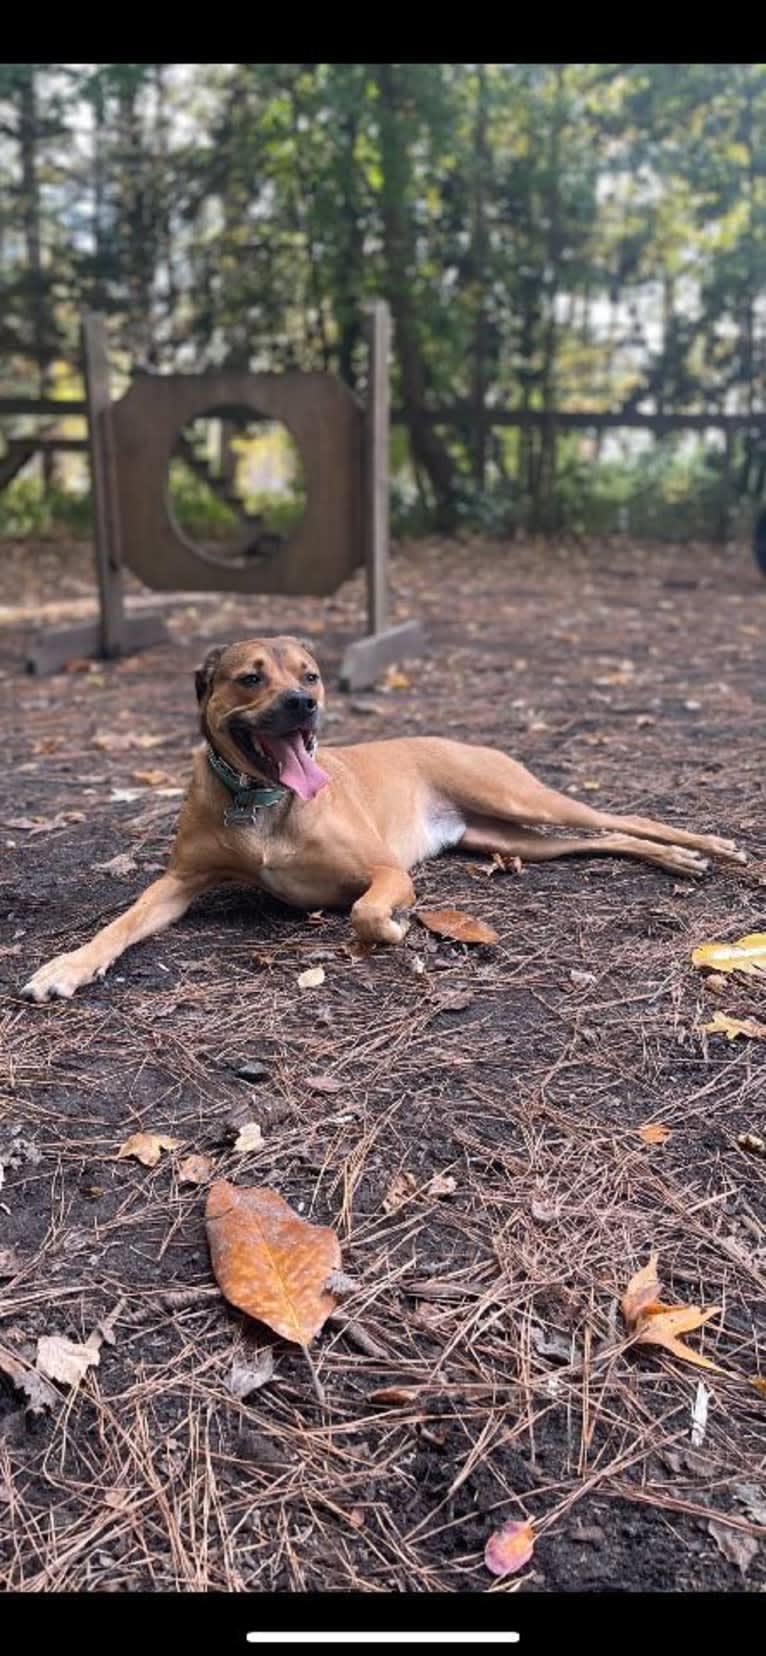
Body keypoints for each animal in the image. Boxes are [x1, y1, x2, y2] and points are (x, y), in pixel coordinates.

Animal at [22, 629, 744, 993]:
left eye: (310, 675)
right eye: (250, 677)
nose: (304, 705)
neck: (262, 801)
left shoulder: (387, 872)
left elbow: (366, 912)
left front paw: (395, 929)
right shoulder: (175, 884)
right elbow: (120, 925)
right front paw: (68, 967)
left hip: (515, 795)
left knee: (624, 820)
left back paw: (705, 847)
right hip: (509, 837)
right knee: (601, 840)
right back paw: (676, 861)